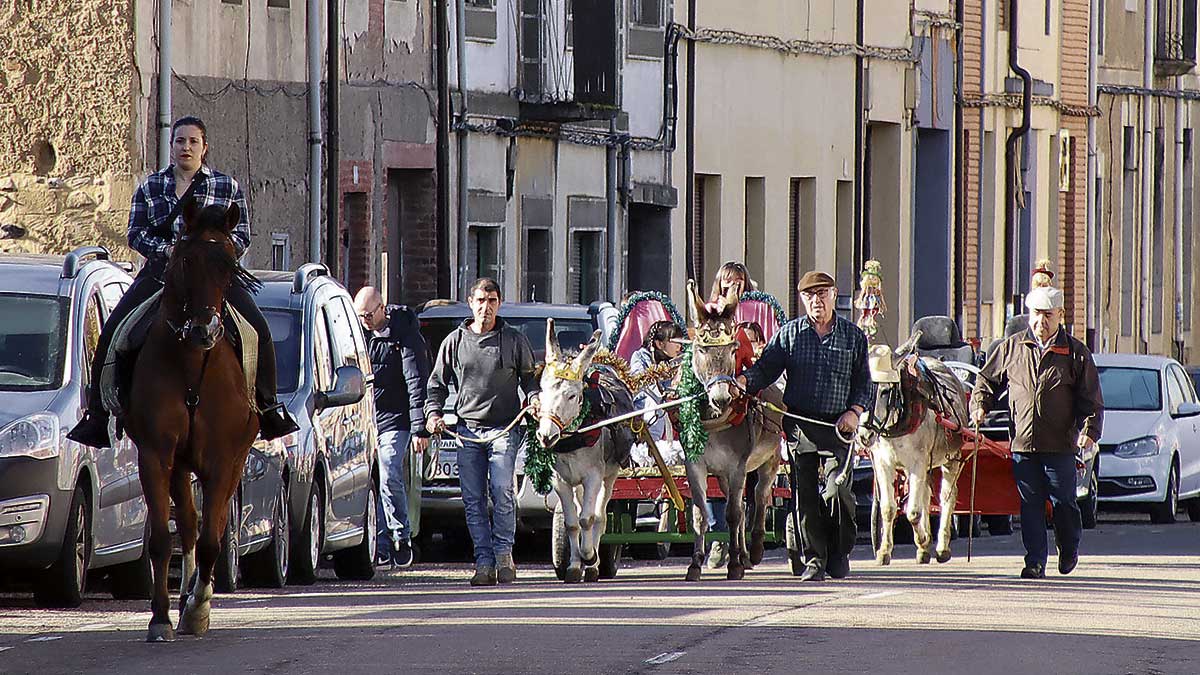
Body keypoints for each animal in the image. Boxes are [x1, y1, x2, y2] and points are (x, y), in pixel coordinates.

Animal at [125, 199, 259, 638]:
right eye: (185, 260)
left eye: (230, 265)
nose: (205, 330)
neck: (191, 364)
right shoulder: (155, 454)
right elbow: (162, 539)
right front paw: (161, 617)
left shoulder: (221, 459)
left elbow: (213, 540)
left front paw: (199, 607)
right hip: (181, 464)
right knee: (186, 522)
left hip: (233, 461)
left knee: (205, 526)